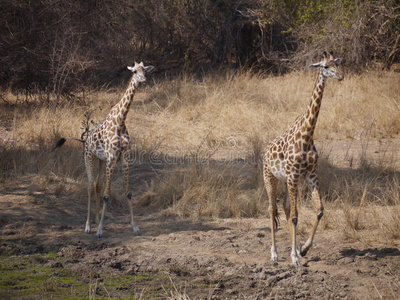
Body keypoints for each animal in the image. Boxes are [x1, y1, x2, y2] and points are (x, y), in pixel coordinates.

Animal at [55, 61, 155, 239]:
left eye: (145, 71)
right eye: (134, 71)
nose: (143, 81)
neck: (120, 122)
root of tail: (85, 140)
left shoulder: (124, 158)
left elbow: (128, 192)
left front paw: (135, 227)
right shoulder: (112, 158)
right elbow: (107, 195)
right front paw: (100, 230)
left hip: (101, 161)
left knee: (97, 185)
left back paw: (95, 219)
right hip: (89, 158)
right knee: (89, 186)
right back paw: (88, 226)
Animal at [262, 51, 344, 264]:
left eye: (337, 64)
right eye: (325, 66)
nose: (340, 76)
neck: (307, 134)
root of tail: (265, 151)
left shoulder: (310, 175)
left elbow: (319, 210)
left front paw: (303, 249)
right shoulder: (293, 176)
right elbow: (296, 215)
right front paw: (294, 257)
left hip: (286, 180)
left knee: (285, 207)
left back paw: (294, 250)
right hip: (270, 177)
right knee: (272, 209)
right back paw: (274, 254)